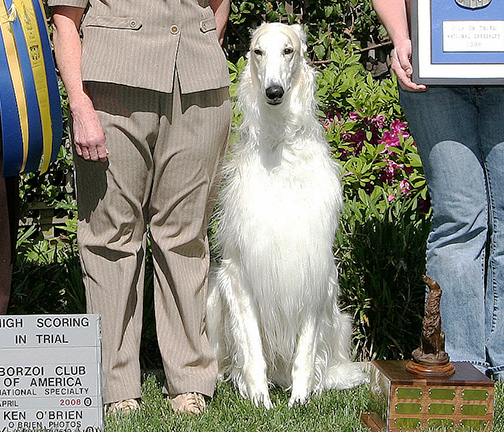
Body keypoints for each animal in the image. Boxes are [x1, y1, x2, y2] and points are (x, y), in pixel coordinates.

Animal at [205, 22, 366, 408]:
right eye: (258, 51)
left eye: (289, 50)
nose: (274, 91)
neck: (280, 149)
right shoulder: (239, 275)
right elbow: (252, 352)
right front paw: (260, 400)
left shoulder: (314, 270)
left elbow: (305, 355)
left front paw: (299, 401)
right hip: (213, 298)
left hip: (339, 320)